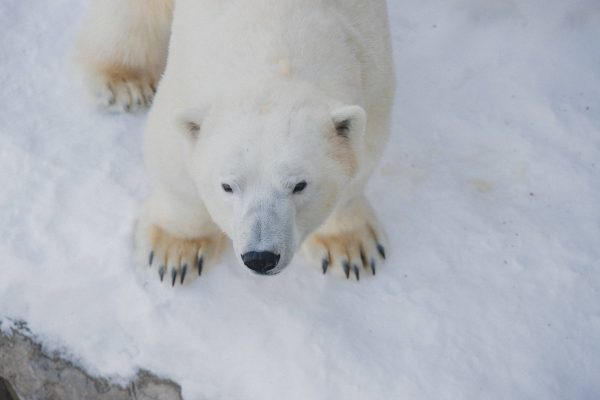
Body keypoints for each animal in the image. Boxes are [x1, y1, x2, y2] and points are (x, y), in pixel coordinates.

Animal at [76, 0, 394, 284]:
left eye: (300, 185)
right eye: (227, 186)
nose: (261, 258)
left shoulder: (372, 77)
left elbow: (359, 164)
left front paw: (351, 250)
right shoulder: (186, 83)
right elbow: (173, 163)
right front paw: (176, 253)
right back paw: (123, 82)